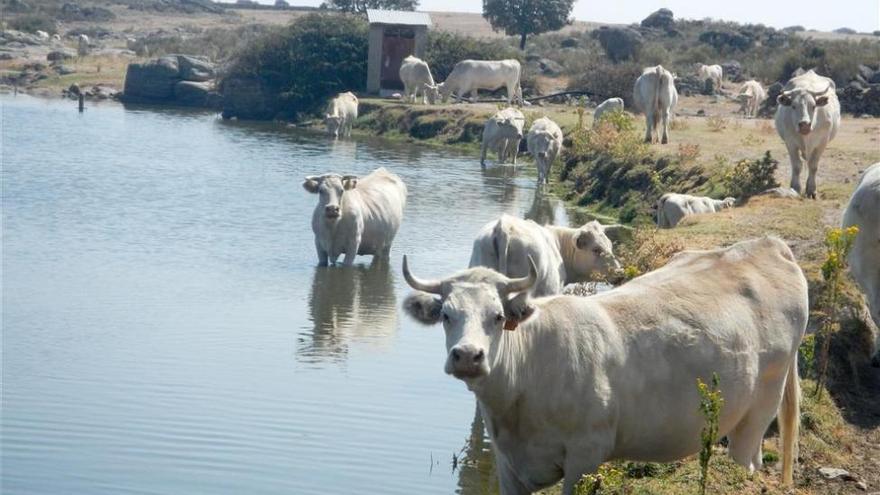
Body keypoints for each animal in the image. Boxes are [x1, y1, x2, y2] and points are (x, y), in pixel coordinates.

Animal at [402, 237, 808, 495]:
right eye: (446, 315)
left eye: (498, 316)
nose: (468, 355)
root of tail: (767, 245)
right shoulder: (508, 464)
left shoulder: (586, 456)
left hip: (759, 410)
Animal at [772, 68, 844, 200]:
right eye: (793, 106)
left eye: (814, 106)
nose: (804, 124)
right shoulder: (790, 142)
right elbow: (797, 165)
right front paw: (795, 187)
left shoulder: (822, 143)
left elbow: (813, 165)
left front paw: (811, 190)